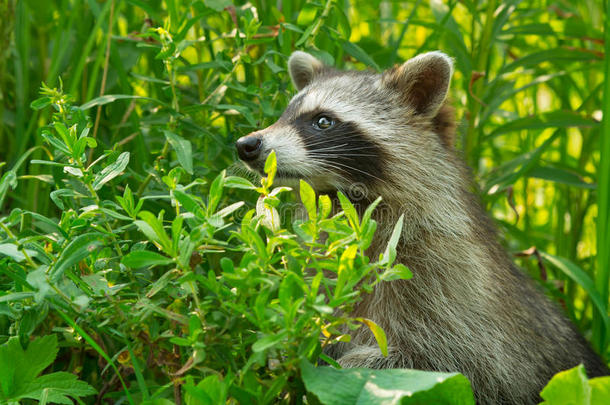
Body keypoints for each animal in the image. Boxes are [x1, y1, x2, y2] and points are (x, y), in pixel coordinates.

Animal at [234, 51, 608, 404]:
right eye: (285, 115)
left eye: (323, 121)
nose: (246, 145)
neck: (352, 200)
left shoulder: (448, 281)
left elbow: (452, 365)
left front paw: (352, 365)